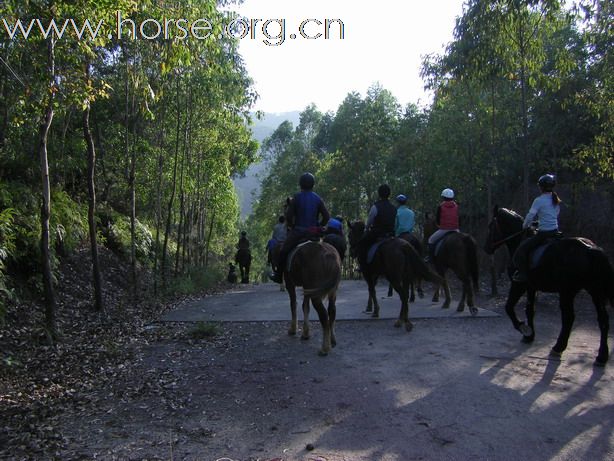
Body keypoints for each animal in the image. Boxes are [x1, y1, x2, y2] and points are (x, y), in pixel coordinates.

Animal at [486, 207, 614, 364]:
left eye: (491, 226)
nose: (486, 248)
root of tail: (592, 250)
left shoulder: (518, 285)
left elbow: (509, 307)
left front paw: (523, 328)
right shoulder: (531, 287)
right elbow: (530, 310)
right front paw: (529, 336)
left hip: (568, 292)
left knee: (569, 318)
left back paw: (558, 347)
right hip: (595, 291)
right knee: (603, 320)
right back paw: (602, 356)